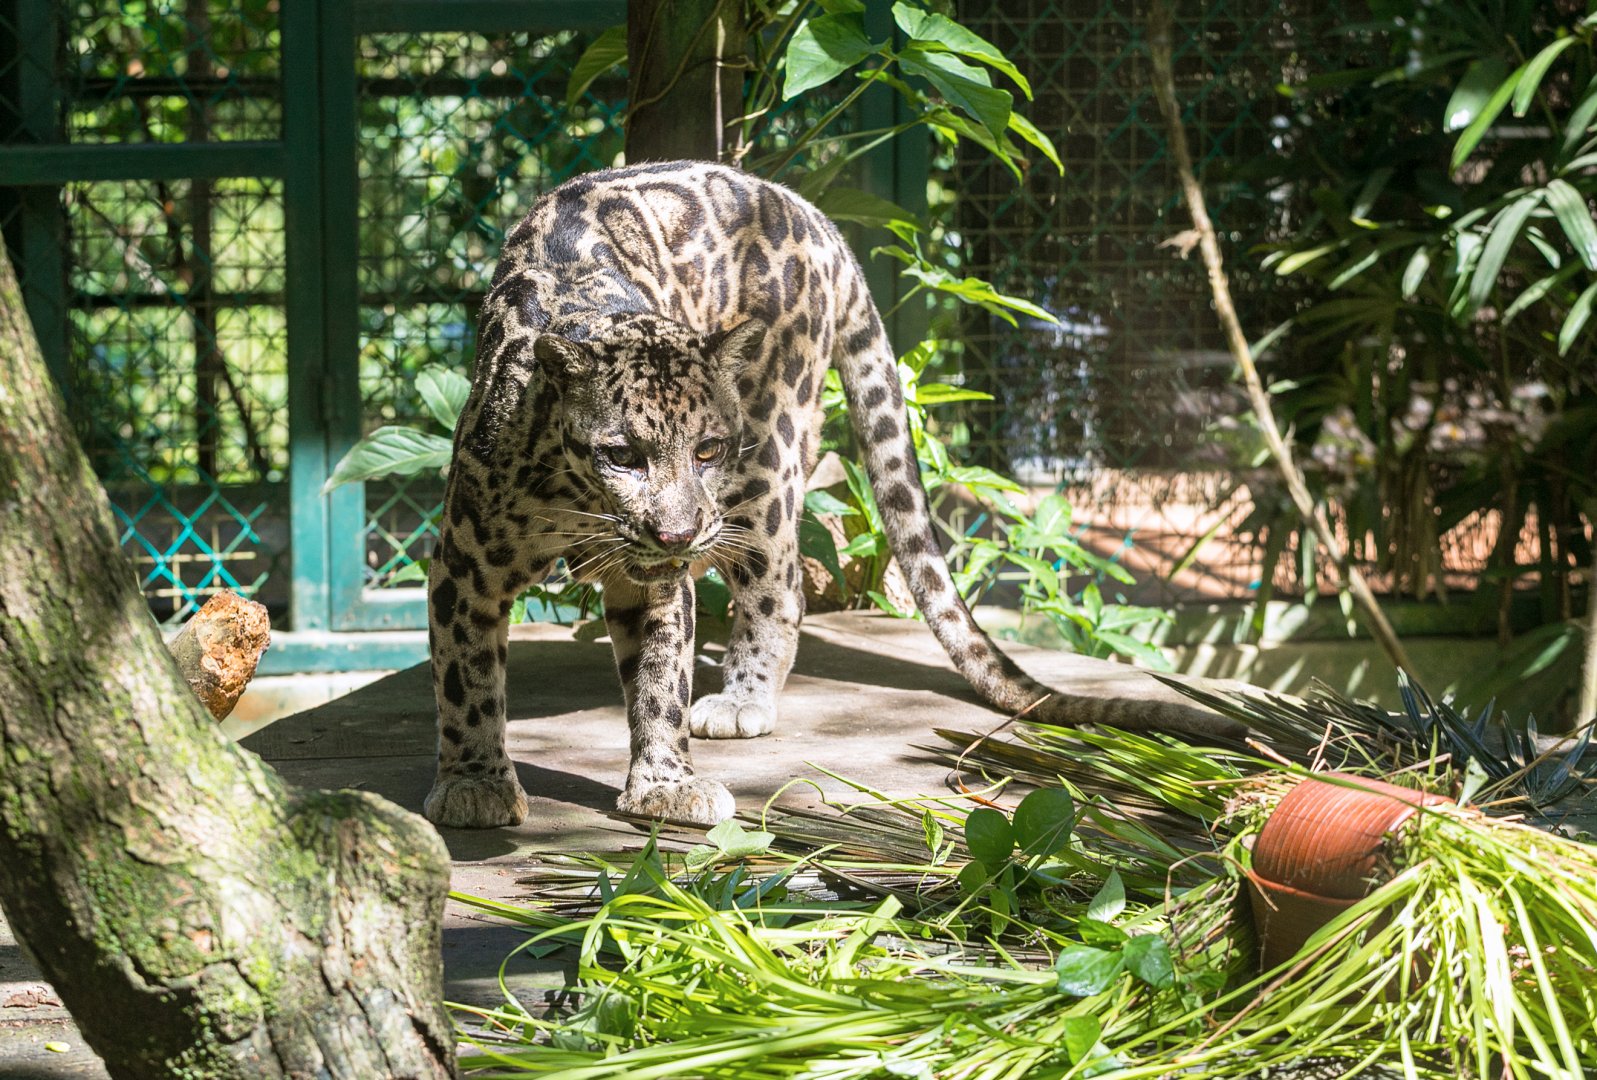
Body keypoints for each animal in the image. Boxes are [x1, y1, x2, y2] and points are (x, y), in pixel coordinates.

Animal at [422, 160, 1232, 829]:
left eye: (705, 449)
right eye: (621, 455)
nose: (678, 535)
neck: (575, 501)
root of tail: (811, 214)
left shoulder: (656, 578)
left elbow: (659, 681)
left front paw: (666, 782)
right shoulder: (464, 566)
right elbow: (467, 679)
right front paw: (476, 783)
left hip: (768, 461)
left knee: (779, 586)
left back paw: (743, 700)